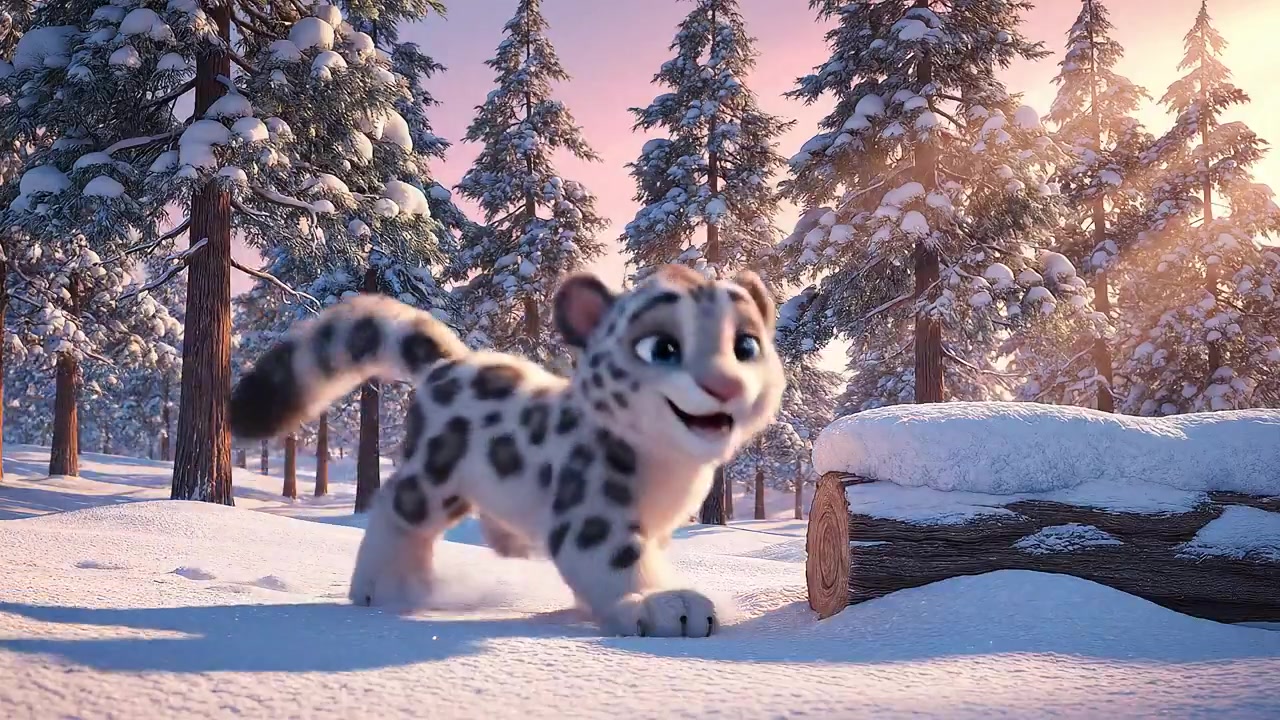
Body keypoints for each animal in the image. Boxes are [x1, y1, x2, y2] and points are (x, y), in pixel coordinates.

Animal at [228, 264, 786, 637]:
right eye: (661, 348)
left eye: (746, 346)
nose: (724, 385)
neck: (672, 470)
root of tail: (449, 363)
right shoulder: (591, 509)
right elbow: (614, 556)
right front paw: (661, 604)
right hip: (436, 478)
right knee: (397, 508)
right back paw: (388, 587)